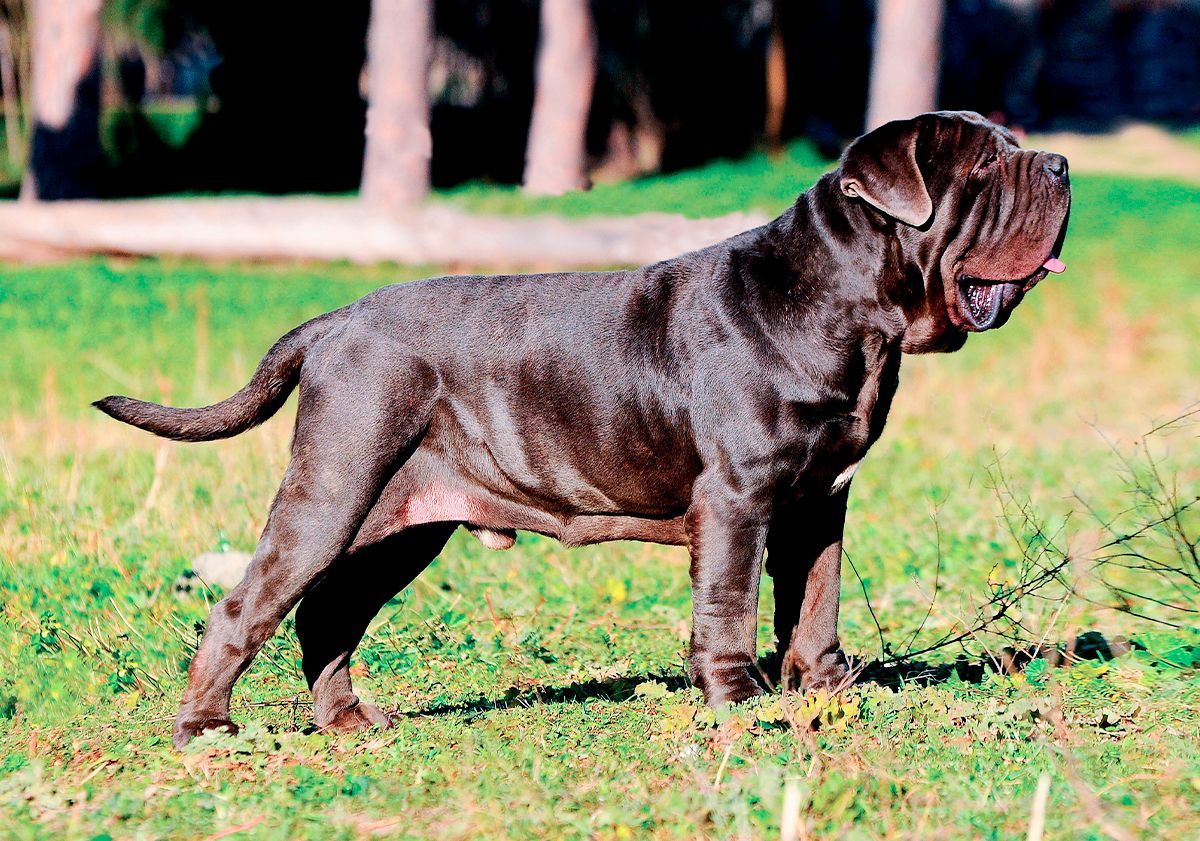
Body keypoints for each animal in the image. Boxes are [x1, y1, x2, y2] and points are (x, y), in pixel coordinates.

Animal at [96, 107, 1070, 743]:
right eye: (985, 170)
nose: (1060, 163)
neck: (849, 307)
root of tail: (335, 321)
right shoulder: (739, 499)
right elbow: (730, 604)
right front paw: (740, 705)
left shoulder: (820, 500)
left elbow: (817, 602)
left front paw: (830, 691)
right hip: (331, 491)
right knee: (243, 605)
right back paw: (206, 729)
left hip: (396, 523)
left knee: (328, 612)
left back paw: (346, 720)